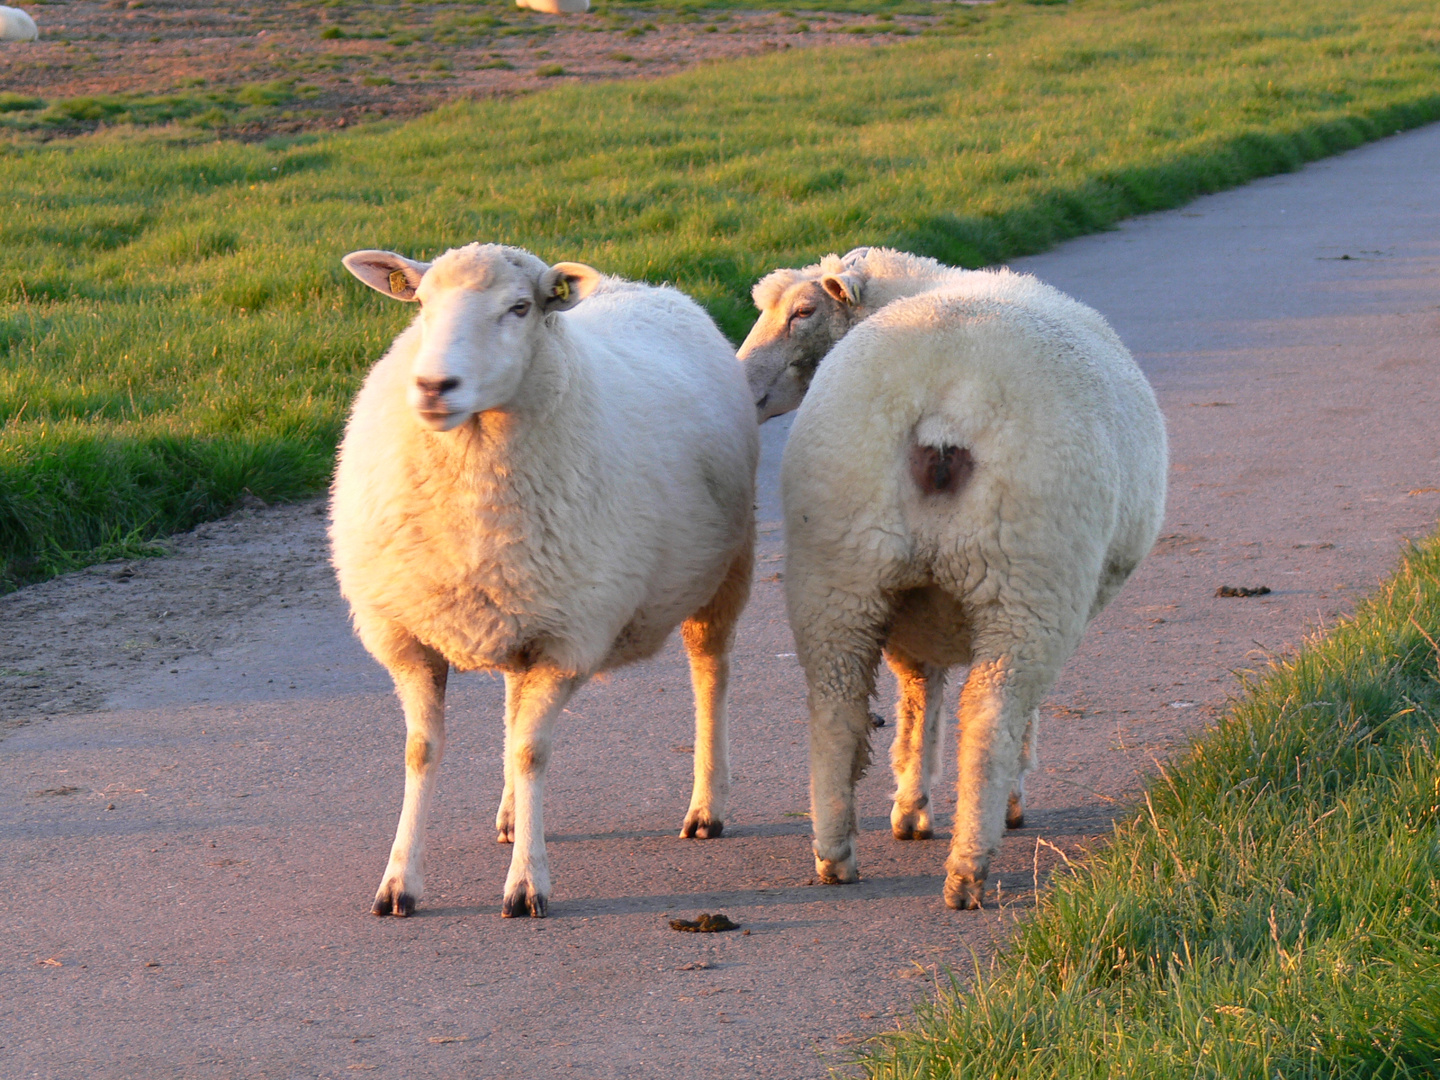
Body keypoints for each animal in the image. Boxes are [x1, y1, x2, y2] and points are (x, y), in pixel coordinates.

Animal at [332, 244, 760, 921]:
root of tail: (639, 284)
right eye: (421, 304)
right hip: (520, 599)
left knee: (709, 675)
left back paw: (707, 806)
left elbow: (533, 753)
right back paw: (511, 815)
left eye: (520, 308)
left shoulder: (569, 638)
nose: (433, 388)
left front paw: (527, 885)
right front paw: (399, 882)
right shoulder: (408, 637)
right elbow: (422, 751)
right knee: (513, 704)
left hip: (723, 569)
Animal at [737, 249, 1163, 910]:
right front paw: (1002, 801)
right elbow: (1000, 712)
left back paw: (835, 854)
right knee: (992, 713)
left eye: (803, 313)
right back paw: (970, 866)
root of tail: (939, 405)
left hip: (840, 568)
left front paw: (911, 807)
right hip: (1029, 580)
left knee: (836, 706)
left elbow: (918, 695)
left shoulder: (910, 611)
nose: (736, 383)